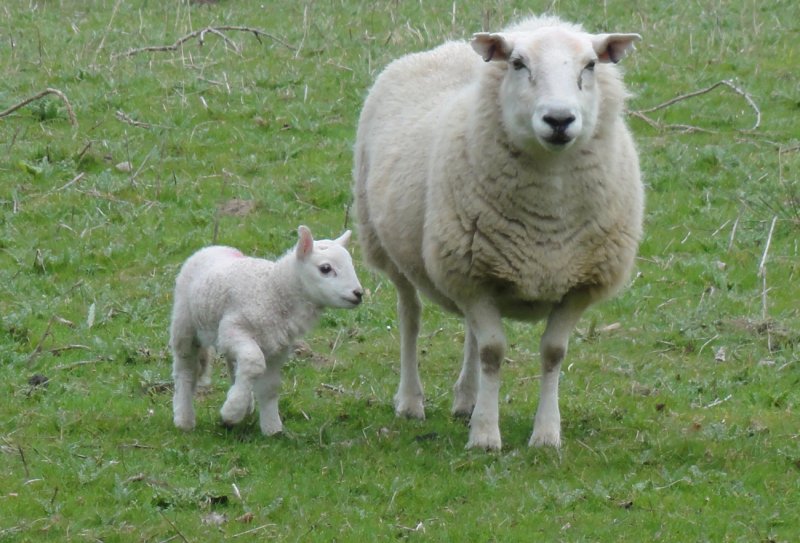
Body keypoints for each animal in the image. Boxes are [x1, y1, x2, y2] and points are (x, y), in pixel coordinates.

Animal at [170, 226, 364, 435]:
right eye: (325, 269)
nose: (359, 293)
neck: (273, 289)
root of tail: (213, 247)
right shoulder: (233, 329)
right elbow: (255, 362)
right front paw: (231, 412)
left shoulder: (278, 346)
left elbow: (270, 386)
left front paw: (272, 428)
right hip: (184, 323)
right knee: (186, 369)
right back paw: (184, 419)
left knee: (234, 365)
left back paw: (244, 403)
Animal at [354, 15, 644, 450]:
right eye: (518, 63)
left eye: (591, 65)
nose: (559, 120)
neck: (548, 220)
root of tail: (449, 47)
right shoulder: (471, 276)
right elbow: (493, 351)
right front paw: (486, 436)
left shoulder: (577, 283)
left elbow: (552, 352)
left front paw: (546, 434)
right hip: (389, 246)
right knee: (410, 317)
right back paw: (410, 400)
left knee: (470, 332)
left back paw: (467, 400)